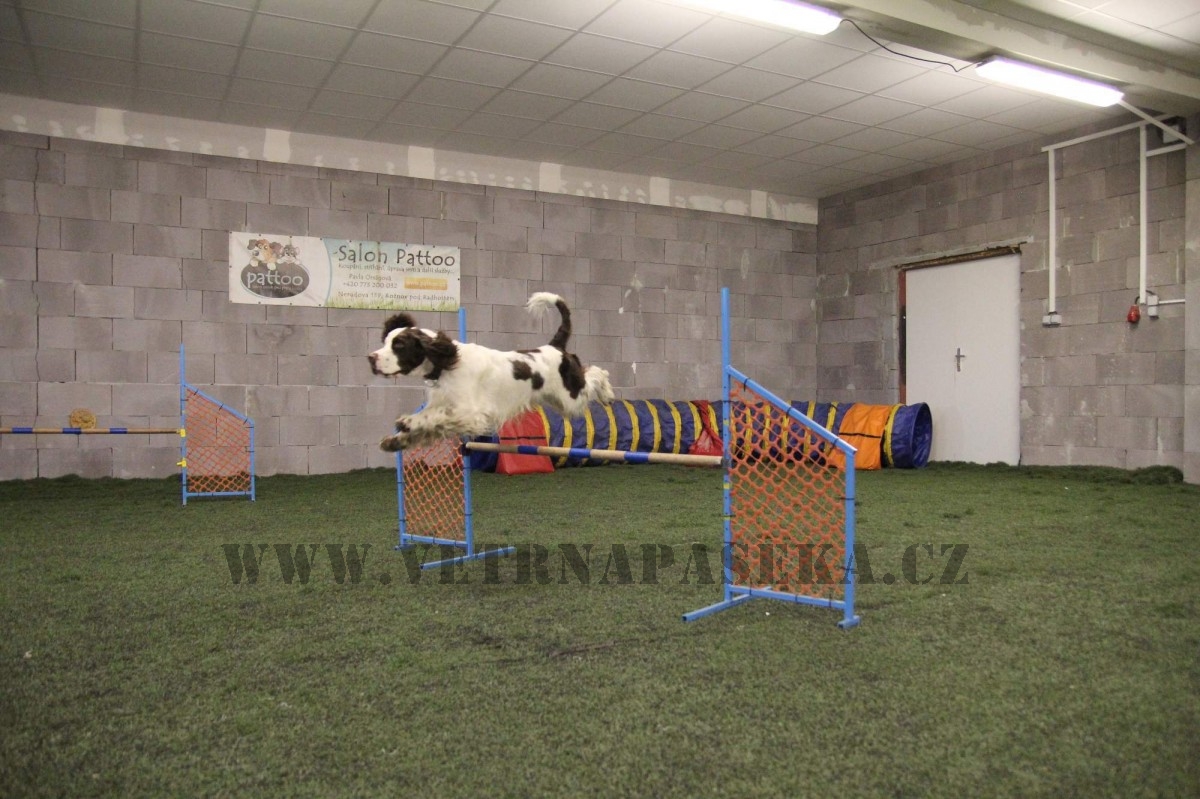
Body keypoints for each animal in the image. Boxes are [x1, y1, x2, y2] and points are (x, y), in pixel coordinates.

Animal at [368, 292, 614, 451]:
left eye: (399, 345)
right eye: (385, 341)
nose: (371, 358)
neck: (446, 365)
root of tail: (555, 346)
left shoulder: (471, 412)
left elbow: (433, 416)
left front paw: (407, 422)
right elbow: (430, 424)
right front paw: (395, 441)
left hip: (571, 397)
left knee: (597, 372)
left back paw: (608, 394)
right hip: (560, 401)